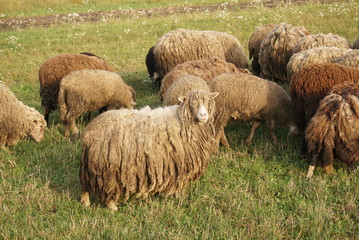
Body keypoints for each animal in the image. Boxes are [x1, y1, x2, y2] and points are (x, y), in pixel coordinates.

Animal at [80, 89, 219, 210]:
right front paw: (176, 196)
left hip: (93, 165)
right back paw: (111, 206)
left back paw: (85, 203)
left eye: (208, 102)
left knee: (85, 184)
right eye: (192, 103)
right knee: (107, 187)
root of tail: (89, 131)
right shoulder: (180, 163)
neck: (183, 122)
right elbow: (179, 182)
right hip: (107, 166)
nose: (203, 115)